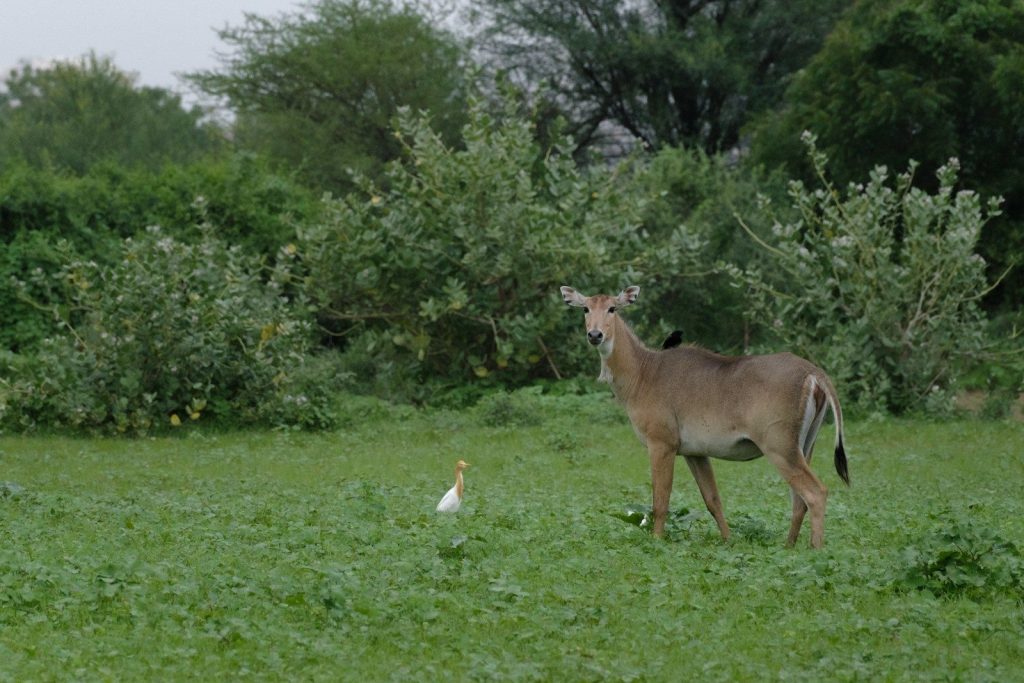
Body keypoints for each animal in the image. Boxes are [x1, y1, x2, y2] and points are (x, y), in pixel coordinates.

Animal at [560, 285, 849, 548]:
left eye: (613, 308)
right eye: (586, 308)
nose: (595, 334)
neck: (643, 372)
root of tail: (814, 374)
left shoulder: (661, 444)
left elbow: (660, 500)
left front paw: (657, 540)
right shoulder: (695, 452)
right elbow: (712, 500)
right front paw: (729, 541)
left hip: (779, 446)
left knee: (815, 493)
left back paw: (815, 550)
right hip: (804, 446)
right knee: (799, 500)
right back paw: (788, 546)